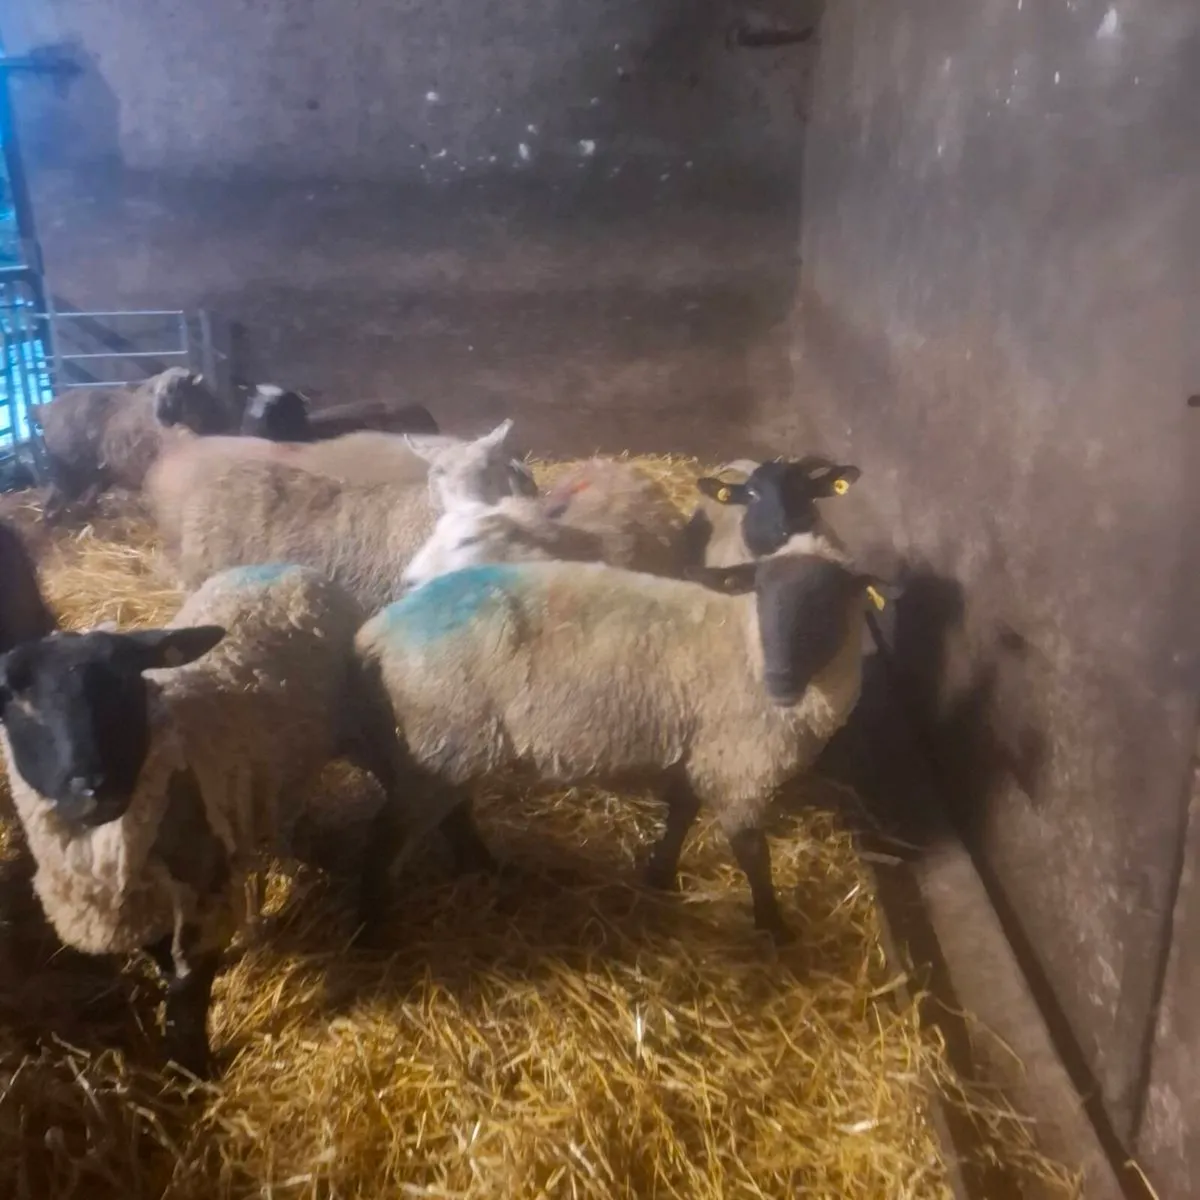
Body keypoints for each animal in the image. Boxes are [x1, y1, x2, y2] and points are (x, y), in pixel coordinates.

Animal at [0, 552, 410, 1077]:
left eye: (125, 683)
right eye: (14, 698)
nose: (94, 787)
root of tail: (288, 567)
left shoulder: (205, 889)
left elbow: (189, 988)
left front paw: (193, 1067)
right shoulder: (144, 901)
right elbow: (164, 965)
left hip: (366, 722)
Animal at [31, 368, 235, 522]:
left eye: (177, 388)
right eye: (155, 391)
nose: (160, 416)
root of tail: (44, 409)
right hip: (68, 468)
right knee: (57, 495)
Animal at [357, 486, 881, 942]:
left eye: (829, 602)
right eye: (763, 592)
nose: (780, 679)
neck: (742, 640)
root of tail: (380, 629)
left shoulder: (700, 748)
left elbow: (682, 812)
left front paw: (660, 873)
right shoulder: (736, 766)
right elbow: (754, 854)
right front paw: (774, 928)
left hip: (453, 744)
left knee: (447, 815)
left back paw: (484, 866)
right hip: (444, 738)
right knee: (387, 831)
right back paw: (376, 932)